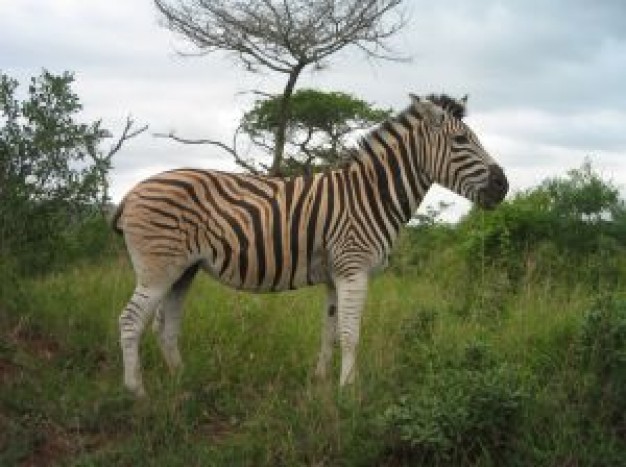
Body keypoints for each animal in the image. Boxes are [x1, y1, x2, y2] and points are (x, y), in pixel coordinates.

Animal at [109, 95, 504, 398]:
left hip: (184, 270)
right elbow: (350, 334)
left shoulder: (334, 276)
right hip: (158, 268)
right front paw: (349, 392)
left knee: (165, 326)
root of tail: (132, 192)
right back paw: (137, 392)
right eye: (461, 141)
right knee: (130, 321)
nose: (504, 185)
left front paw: (322, 382)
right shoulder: (353, 269)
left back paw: (182, 381)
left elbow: (330, 332)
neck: (371, 195)